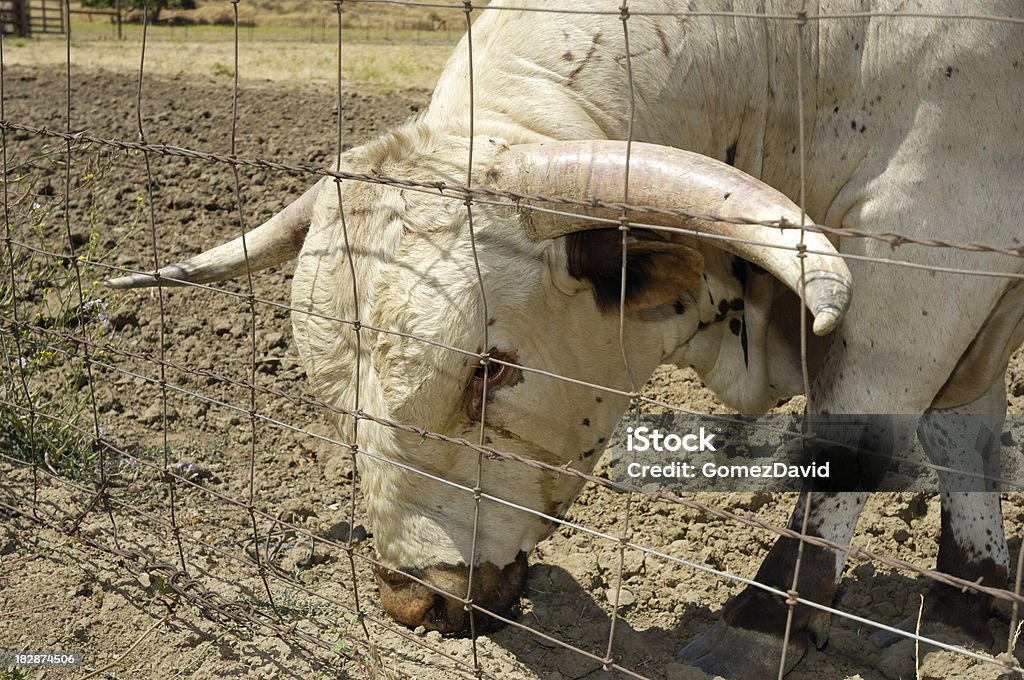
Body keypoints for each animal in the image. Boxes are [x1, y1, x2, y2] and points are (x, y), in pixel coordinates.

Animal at [105, 2, 1024, 675]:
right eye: (334, 397)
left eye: (487, 371)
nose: (412, 602)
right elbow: (965, 432)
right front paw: (974, 603)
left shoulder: (930, 245)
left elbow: (857, 440)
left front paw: (763, 627)